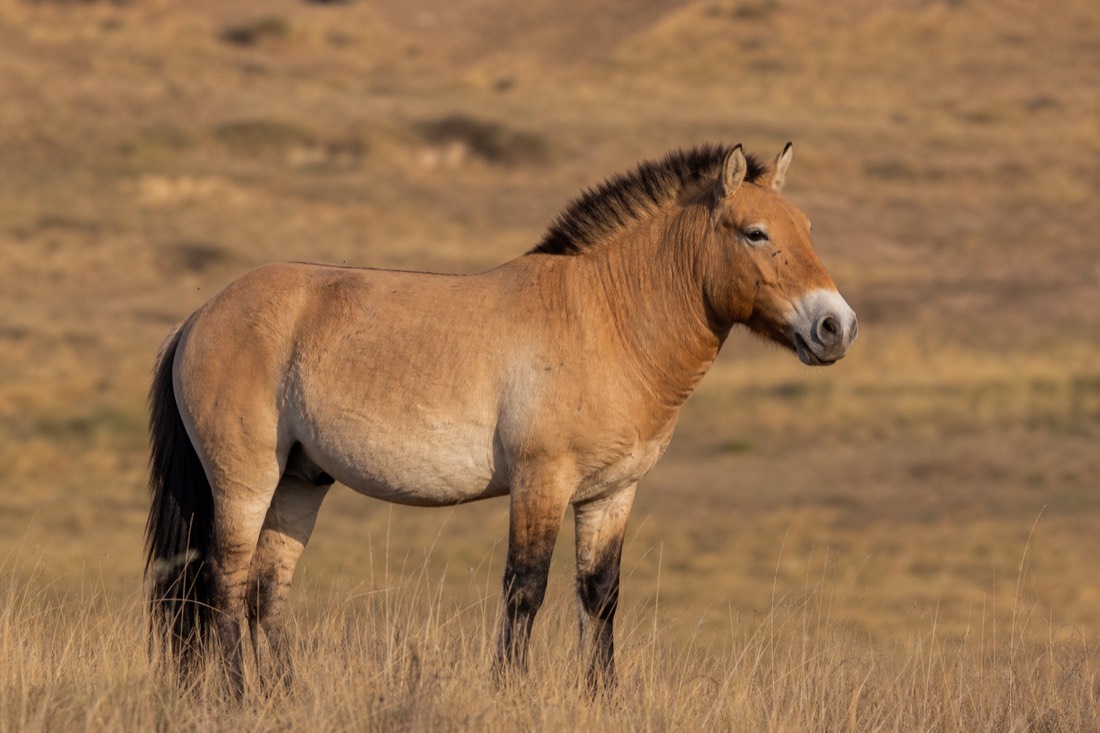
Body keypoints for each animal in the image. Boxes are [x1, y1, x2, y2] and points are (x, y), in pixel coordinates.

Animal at [145, 142, 858, 694]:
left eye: (809, 228)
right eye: (755, 232)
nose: (836, 326)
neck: (606, 318)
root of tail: (200, 317)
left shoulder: (611, 493)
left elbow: (600, 596)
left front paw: (603, 699)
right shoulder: (542, 484)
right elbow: (525, 590)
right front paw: (509, 691)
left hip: (299, 483)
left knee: (266, 592)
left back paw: (285, 698)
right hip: (246, 482)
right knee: (226, 584)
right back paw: (238, 699)